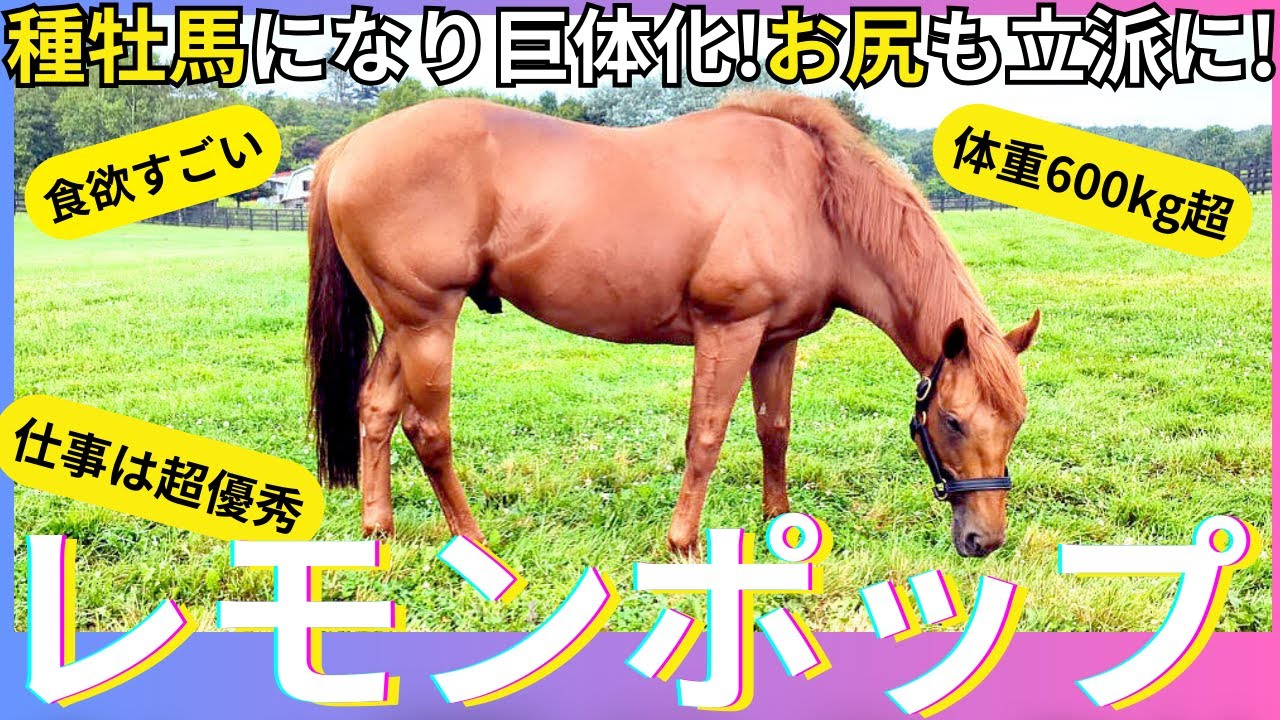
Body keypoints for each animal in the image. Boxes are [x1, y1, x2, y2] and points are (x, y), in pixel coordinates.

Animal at [305, 91, 1040, 558]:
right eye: (952, 422)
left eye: (1014, 424)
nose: (984, 540)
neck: (816, 198)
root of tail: (349, 147)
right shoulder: (729, 331)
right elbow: (706, 436)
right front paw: (683, 541)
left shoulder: (776, 341)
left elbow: (774, 431)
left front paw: (779, 526)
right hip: (428, 321)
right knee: (428, 429)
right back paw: (473, 541)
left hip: (404, 323)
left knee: (375, 409)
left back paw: (379, 529)